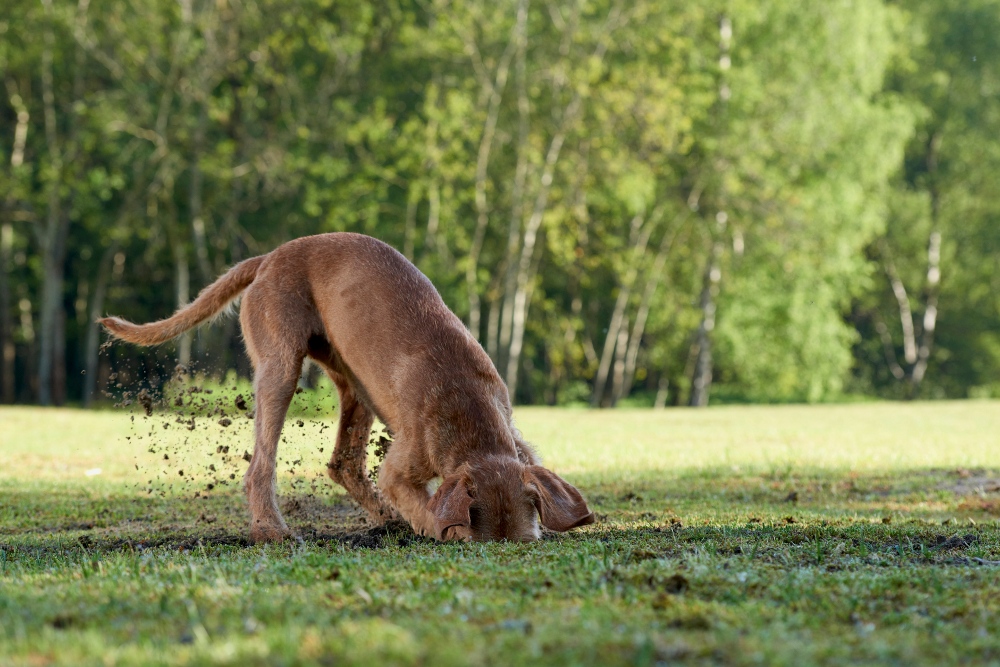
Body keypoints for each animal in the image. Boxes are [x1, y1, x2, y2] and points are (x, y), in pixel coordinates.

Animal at [99, 234, 592, 544]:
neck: (471, 416)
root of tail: (269, 257)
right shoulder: (401, 468)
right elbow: (427, 508)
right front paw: (438, 528)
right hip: (280, 367)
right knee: (261, 464)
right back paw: (270, 530)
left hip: (354, 385)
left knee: (344, 464)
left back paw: (384, 519)